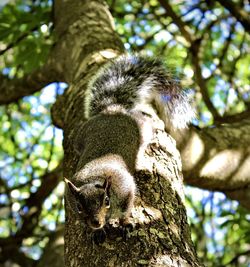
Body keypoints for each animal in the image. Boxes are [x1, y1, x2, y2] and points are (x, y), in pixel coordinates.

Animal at [64, 55, 195, 233]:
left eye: (106, 201)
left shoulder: (126, 190)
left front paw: (125, 223)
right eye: (78, 207)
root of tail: (112, 110)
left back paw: (156, 127)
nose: (96, 223)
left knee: (147, 123)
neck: (93, 178)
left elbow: (126, 210)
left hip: (141, 127)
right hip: (81, 136)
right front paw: (93, 232)